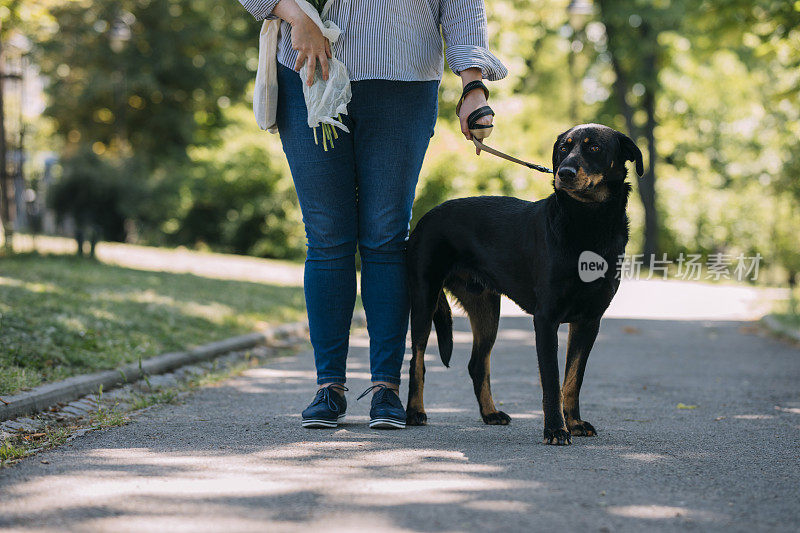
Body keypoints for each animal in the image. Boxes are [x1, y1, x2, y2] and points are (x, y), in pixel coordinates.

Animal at [406, 122, 644, 442]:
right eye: (564, 148)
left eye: (594, 148)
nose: (564, 173)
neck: (587, 222)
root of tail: (426, 217)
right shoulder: (546, 319)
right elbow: (552, 381)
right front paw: (556, 428)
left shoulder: (589, 320)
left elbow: (573, 380)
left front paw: (575, 423)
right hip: (424, 297)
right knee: (416, 360)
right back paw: (415, 412)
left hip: (485, 308)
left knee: (477, 364)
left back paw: (490, 414)